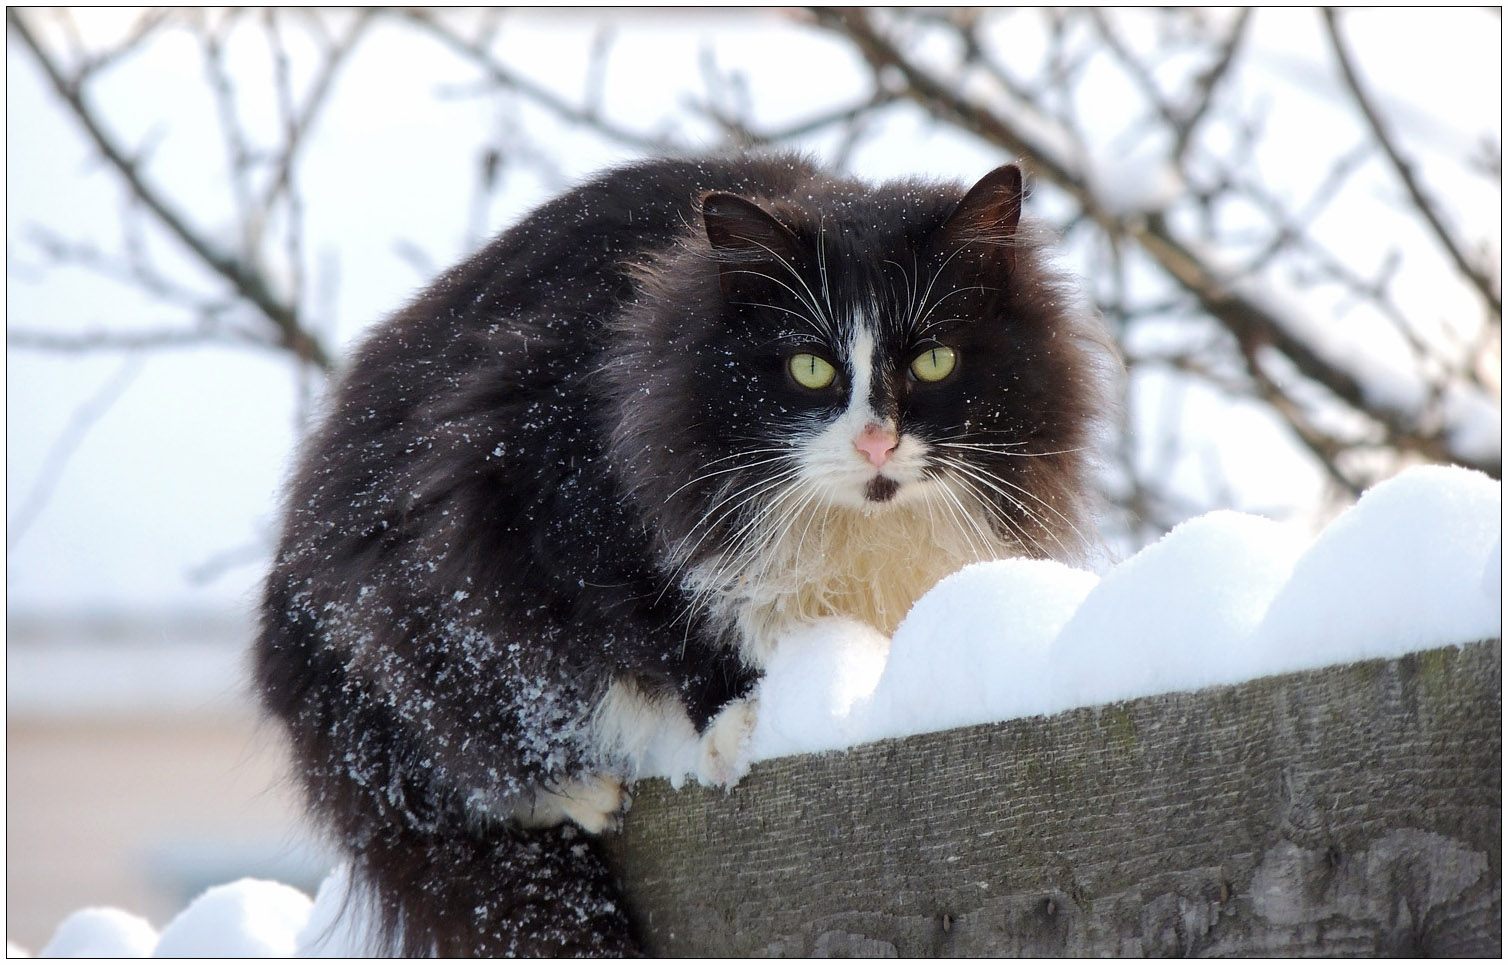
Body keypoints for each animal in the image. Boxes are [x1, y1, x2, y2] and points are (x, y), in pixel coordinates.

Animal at [256, 154, 1109, 952]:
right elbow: (660, 620)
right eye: (809, 367)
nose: (876, 441)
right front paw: (737, 725)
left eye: (935, 360)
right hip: (392, 606)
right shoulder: (525, 481)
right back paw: (586, 787)